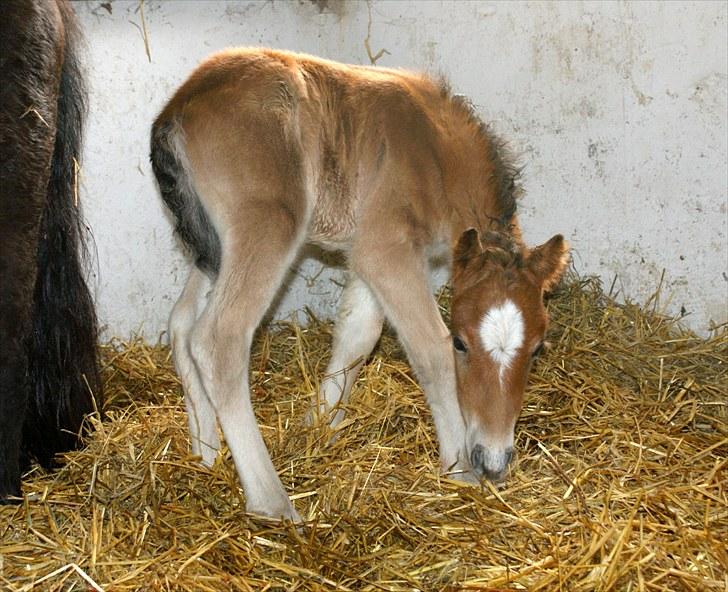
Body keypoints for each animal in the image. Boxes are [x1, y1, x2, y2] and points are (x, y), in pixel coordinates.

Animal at [149, 47, 568, 520]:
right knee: (218, 337)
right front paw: (460, 466)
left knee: (181, 323)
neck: (438, 155)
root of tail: (179, 105)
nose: (494, 460)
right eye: (463, 343)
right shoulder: (386, 248)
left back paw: (205, 449)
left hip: (213, 249)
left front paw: (316, 425)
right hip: (267, 226)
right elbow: (429, 349)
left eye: (537, 349)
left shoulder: (368, 253)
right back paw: (273, 502)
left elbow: (357, 336)